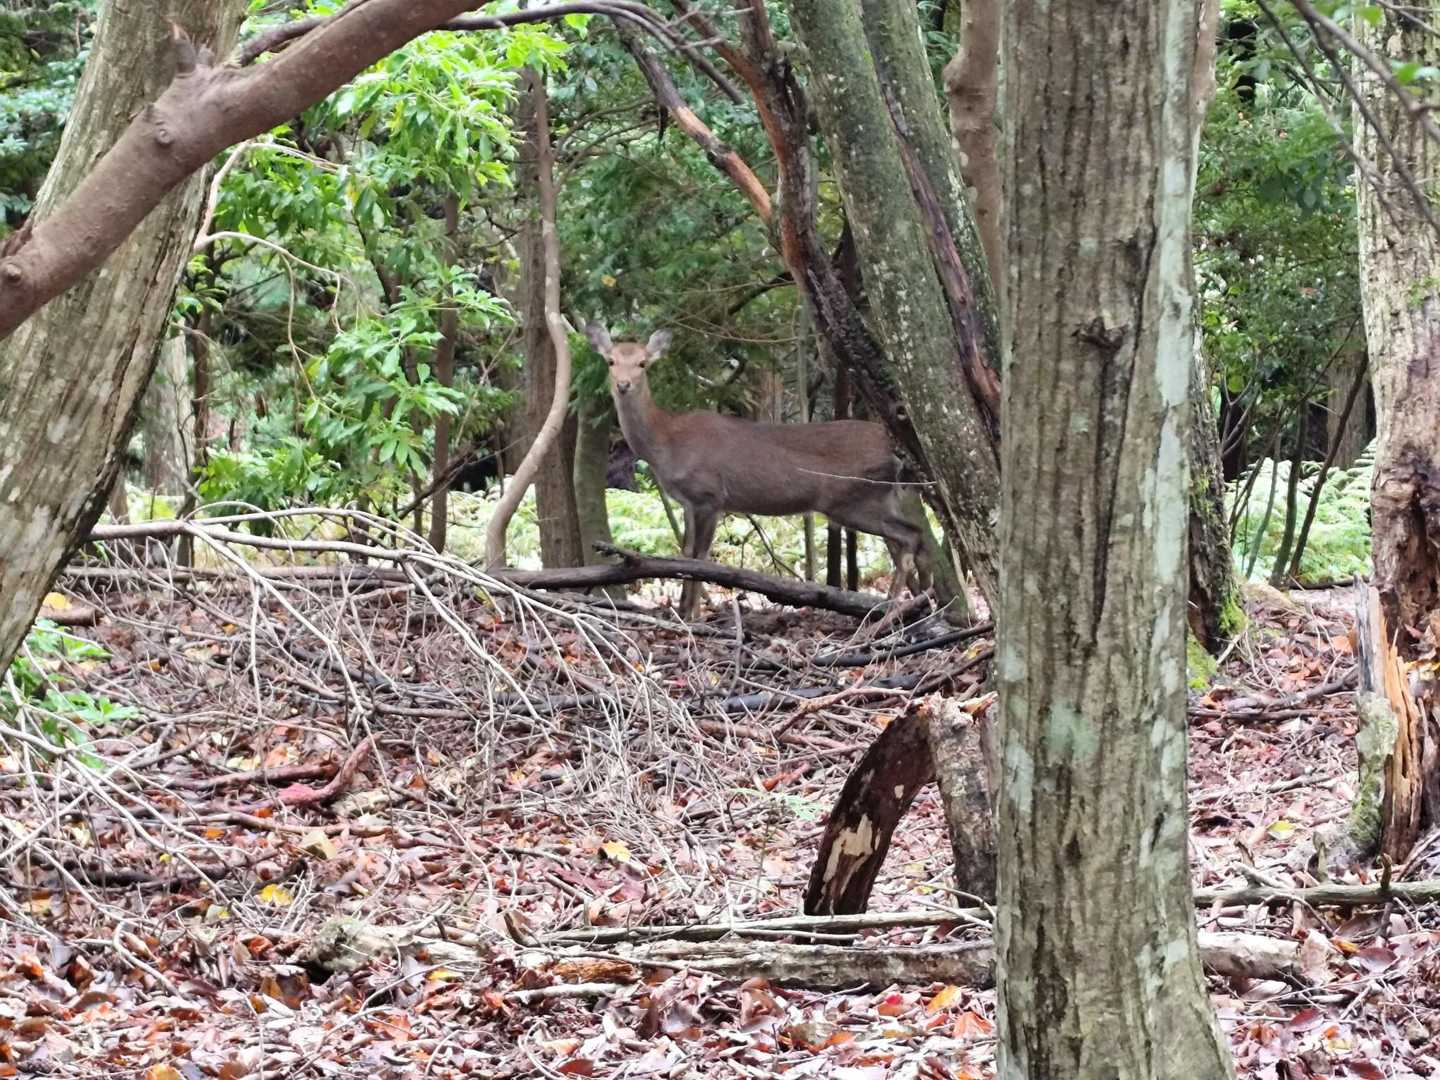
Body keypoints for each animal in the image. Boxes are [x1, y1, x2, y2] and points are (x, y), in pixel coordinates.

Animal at [585, 323, 932, 619]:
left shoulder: (709, 495)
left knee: (910, 536)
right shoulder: (687, 501)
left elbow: (699, 557)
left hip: (853, 497)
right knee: (916, 539)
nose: (623, 385)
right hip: (878, 497)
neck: (666, 441)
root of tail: (896, 451)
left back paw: (890, 609)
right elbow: (685, 553)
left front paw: (691, 616)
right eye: (611, 360)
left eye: (643, 363)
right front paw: (686, 612)